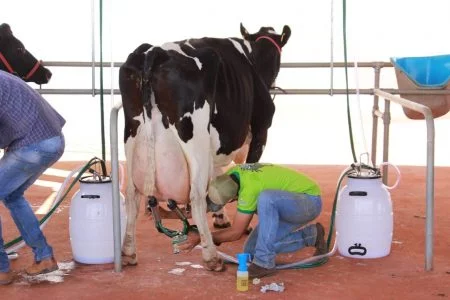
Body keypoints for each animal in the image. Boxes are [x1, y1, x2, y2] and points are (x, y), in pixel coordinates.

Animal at [118, 23, 290, 270]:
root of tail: (154, 52)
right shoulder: (261, 129)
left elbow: (217, 179)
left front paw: (221, 218)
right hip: (195, 136)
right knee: (196, 195)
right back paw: (211, 256)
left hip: (131, 135)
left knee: (132, 195)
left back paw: (129, 252)